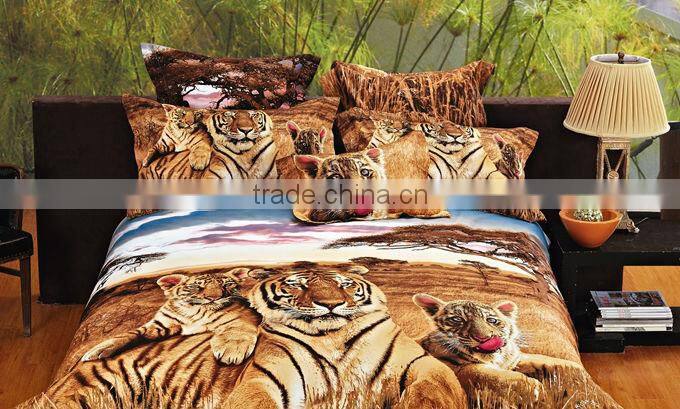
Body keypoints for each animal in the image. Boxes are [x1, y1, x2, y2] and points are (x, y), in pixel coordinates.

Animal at [41, 269, 263, 407]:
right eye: (197, 287)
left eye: (227, 285)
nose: (214, 298)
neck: (195, 312)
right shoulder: (161, 324)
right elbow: (131, 333)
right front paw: (98, 349)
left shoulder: (242, 318)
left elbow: (237, 329)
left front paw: (230, 352)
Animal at [224, 265, 467, 409]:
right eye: (297, 285)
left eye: (345, 284)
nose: (330, 304)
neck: (331, 337)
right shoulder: (266, 376)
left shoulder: (421, 361)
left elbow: (431, 390)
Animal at [413, 294, 581, 402]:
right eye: (457, 319)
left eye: (492, 320)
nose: (484, 338)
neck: (496, 360)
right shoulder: (460, 369)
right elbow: (489, 374)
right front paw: (535, 390)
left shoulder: (516, 360)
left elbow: (552, 362)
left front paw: (577, 377)